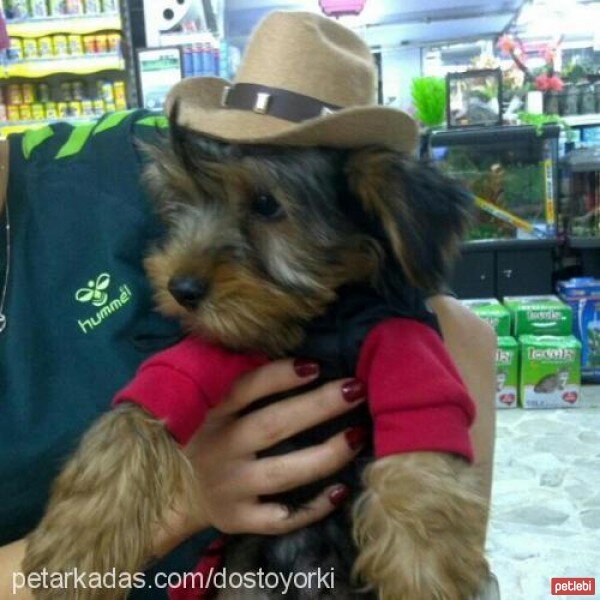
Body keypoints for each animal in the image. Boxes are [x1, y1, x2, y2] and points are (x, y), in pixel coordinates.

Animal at [25, 9, 490, 600]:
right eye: (184, 202)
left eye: (266, 205)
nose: (181, 288)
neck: (318, 322)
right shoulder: (225, 341)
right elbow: (139, 410)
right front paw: (76, 543)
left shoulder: (402, 343)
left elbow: (419, 458)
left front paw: (422, 575)